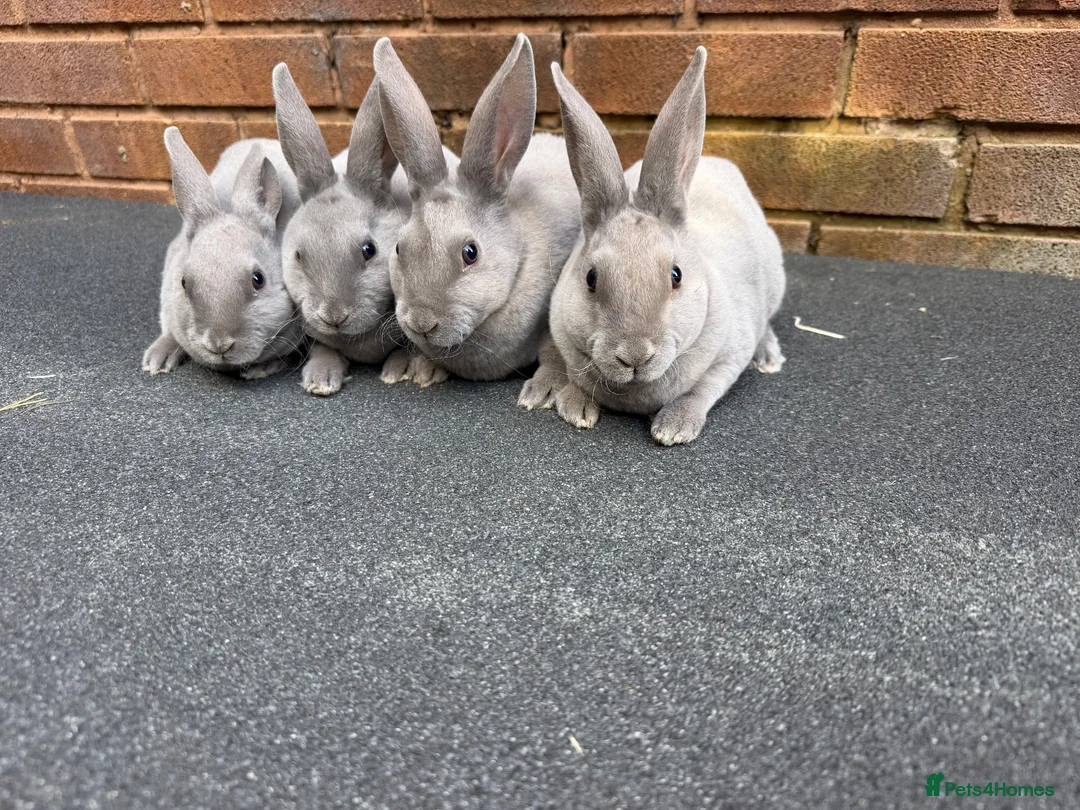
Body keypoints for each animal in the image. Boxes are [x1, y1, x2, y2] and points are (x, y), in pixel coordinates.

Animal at [272, 63, 462, 396]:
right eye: (298, 256)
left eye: (368, 250)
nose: (334, 315)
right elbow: (323, 348)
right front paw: (320, 381)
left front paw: (401, 370)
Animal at [372, 33, 581, 387]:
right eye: (399, 248)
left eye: (471, 253)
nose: (422, 323)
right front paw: (423, 370)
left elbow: (556, 349)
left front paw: (545, 390)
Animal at [528, 47, 787, 445]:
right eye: (590, 278)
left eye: (676, 276)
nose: (634, 356)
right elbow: (565, 370)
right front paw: (573, 406)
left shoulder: (727, 358)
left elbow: (702, 391)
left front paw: (674, 428)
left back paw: (769, 356)